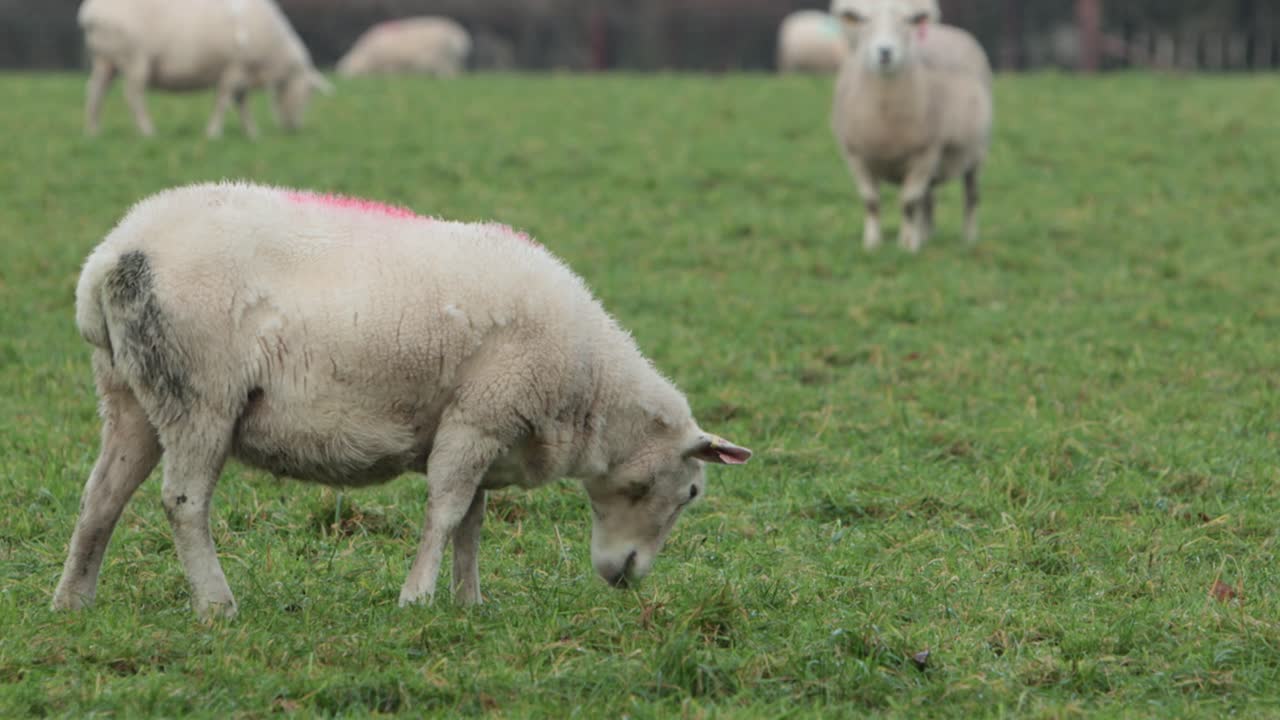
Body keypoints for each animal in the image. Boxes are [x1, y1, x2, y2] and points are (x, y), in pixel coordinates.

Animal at [51, 182, 753, 619]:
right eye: (692, 492)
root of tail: (109, 258)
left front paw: (470, 603)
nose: (627, 577)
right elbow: (445, 511)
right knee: (183, 503)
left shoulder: (487, 429)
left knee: (101, 498)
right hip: (201, 394)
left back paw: (72, 600)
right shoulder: (479, 414)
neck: (590, 392)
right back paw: (217, 606)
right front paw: (417, 598)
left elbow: (473, 522)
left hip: (130, 394)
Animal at [78, 0, 332, 139]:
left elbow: (241, 103)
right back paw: (148, 131)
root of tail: (91, 13)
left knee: (95, 91)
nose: (294, 128)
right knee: (133, 95)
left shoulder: (241, 73)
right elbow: (224, 101)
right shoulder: (235, 69)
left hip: (105, 60)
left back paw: (93, 131)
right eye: (308, 95)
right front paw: (214, 133)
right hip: (134, 59)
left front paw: (251, 132)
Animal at [337, 17, 472, 78]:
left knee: (449, 75)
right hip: (452, 61)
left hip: (443, 61)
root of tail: (459, 36)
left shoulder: (390, 64)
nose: (343, 77)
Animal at [829, 0, 993, 252]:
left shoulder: (926, 152)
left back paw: (968, 239)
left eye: (906, 20)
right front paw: (872, 244)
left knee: (971, 196)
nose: (885, 52)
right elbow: (871, 201)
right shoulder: (855, 155)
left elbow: (908, 202)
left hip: (975, 154)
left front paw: (907, 246)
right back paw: (925, 236)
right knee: (927, 200)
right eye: (865, 19)